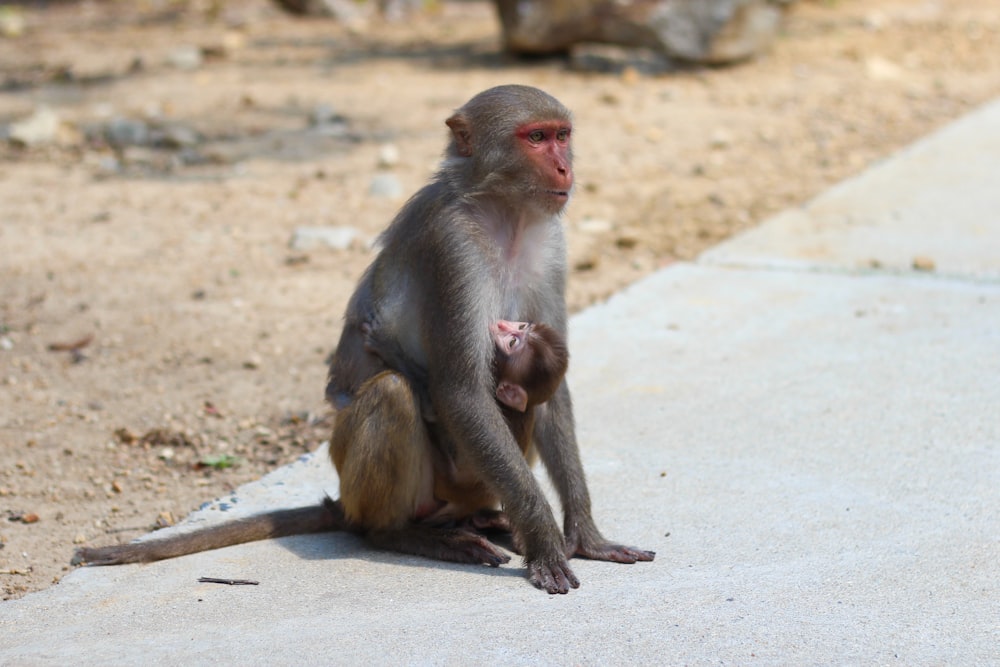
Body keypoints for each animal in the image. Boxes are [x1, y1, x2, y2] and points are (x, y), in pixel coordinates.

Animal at [328, 85, 656, 596]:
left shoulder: (551, 243)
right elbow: (462, 391)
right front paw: (545, 541)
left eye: (562, 136)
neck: (508, 214)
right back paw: (402, 534)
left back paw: (488, 520)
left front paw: (584, 534)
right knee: (393, 392)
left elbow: (551, 392)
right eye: (536, 138)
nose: (564, 168)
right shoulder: (452, 247)